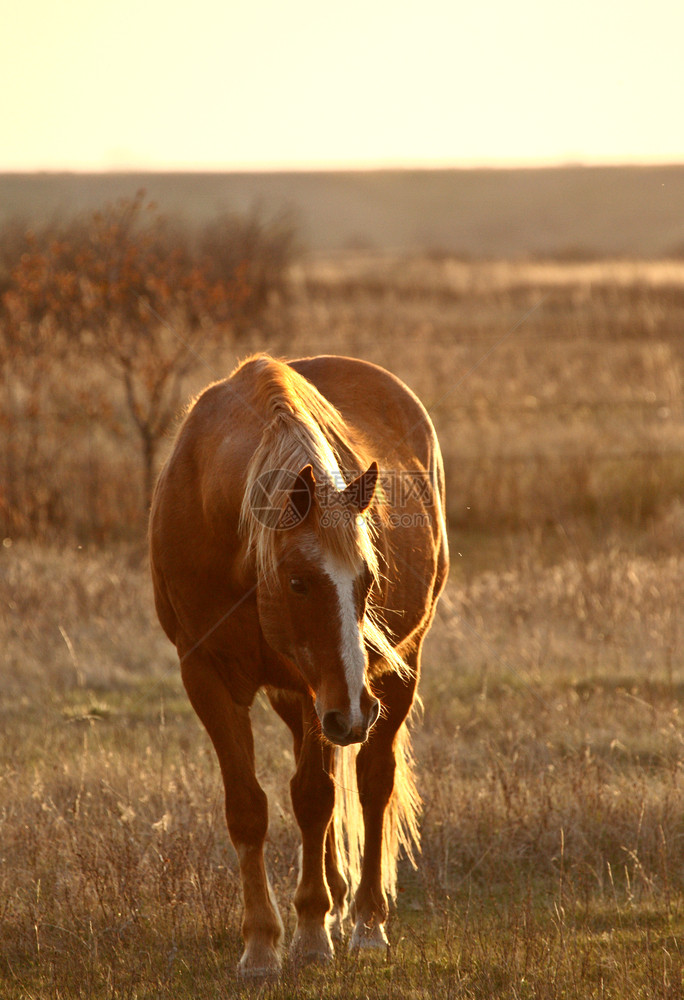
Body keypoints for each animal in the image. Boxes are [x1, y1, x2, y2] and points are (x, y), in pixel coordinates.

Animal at [148, 352, 448, 976]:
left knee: (371, 783)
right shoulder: (205, 675)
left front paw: (308, 934)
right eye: (297, 582)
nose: (356, 714)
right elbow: (248, 808)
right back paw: (336, 901)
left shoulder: (323, 691)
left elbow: (313, 799)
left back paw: (364, 922)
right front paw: (262, 944)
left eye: (367, 579)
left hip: (387, 678)